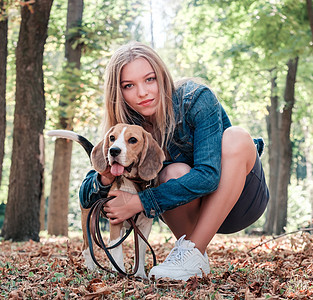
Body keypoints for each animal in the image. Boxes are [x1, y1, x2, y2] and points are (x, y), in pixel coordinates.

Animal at [47, 124, 165, 278]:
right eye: (112, 138)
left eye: (133, 140)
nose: (113, 150)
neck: (133, 184)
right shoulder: (115, 220)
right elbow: (117, 251)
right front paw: (120, 274)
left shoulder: (145, 225)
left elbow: (140, 250)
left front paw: (139, 275)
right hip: (88, 221)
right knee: (87, 248)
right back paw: (93, 270)